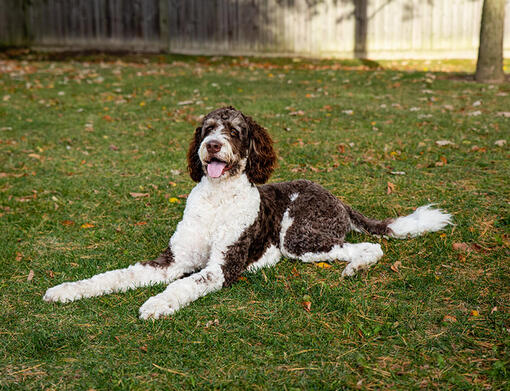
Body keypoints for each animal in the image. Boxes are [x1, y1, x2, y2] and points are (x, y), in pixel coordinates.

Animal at [42, 106, 450, 318]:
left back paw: (354, 267)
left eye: (236, 131)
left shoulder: (222, 267)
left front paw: (158, 302)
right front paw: (68, 289)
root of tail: (335, 197)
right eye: (207, 128)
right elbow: (114, 275)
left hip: (298, 238)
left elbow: (184, 284)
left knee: (367, 247)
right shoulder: (171, 260)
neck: (216, 200)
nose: (212, 145)